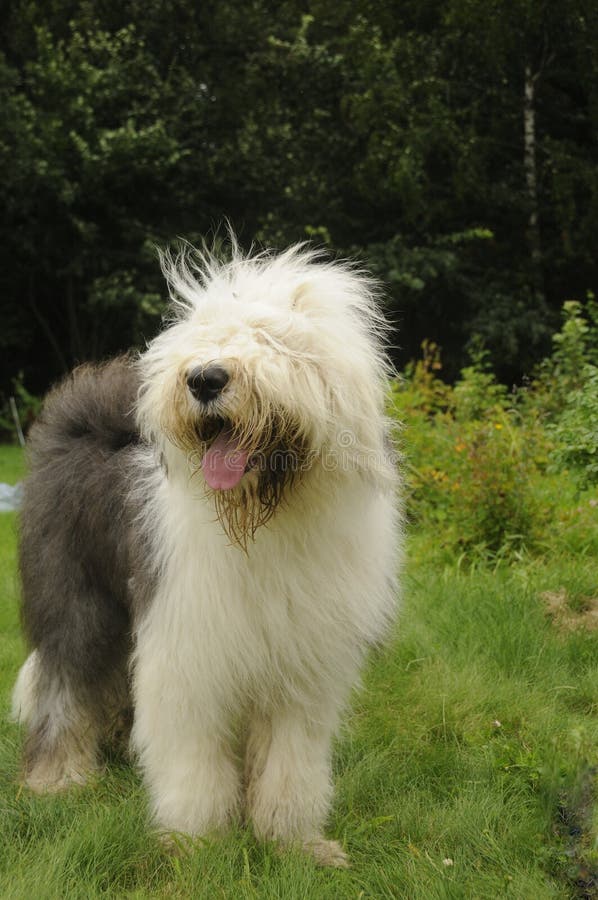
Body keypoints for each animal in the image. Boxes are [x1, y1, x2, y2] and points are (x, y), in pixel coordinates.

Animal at [10, 237, 404, 864]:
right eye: (207, 337)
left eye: (271, 337)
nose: (205, 379)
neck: (265, 522)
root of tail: (94, 413)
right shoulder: (187, 647)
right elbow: (193, 752)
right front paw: (196, 840)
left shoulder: (302, 664)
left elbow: (291, 761)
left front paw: (295, 842)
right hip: (76, 594)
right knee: (65, 681)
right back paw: (59, 777)